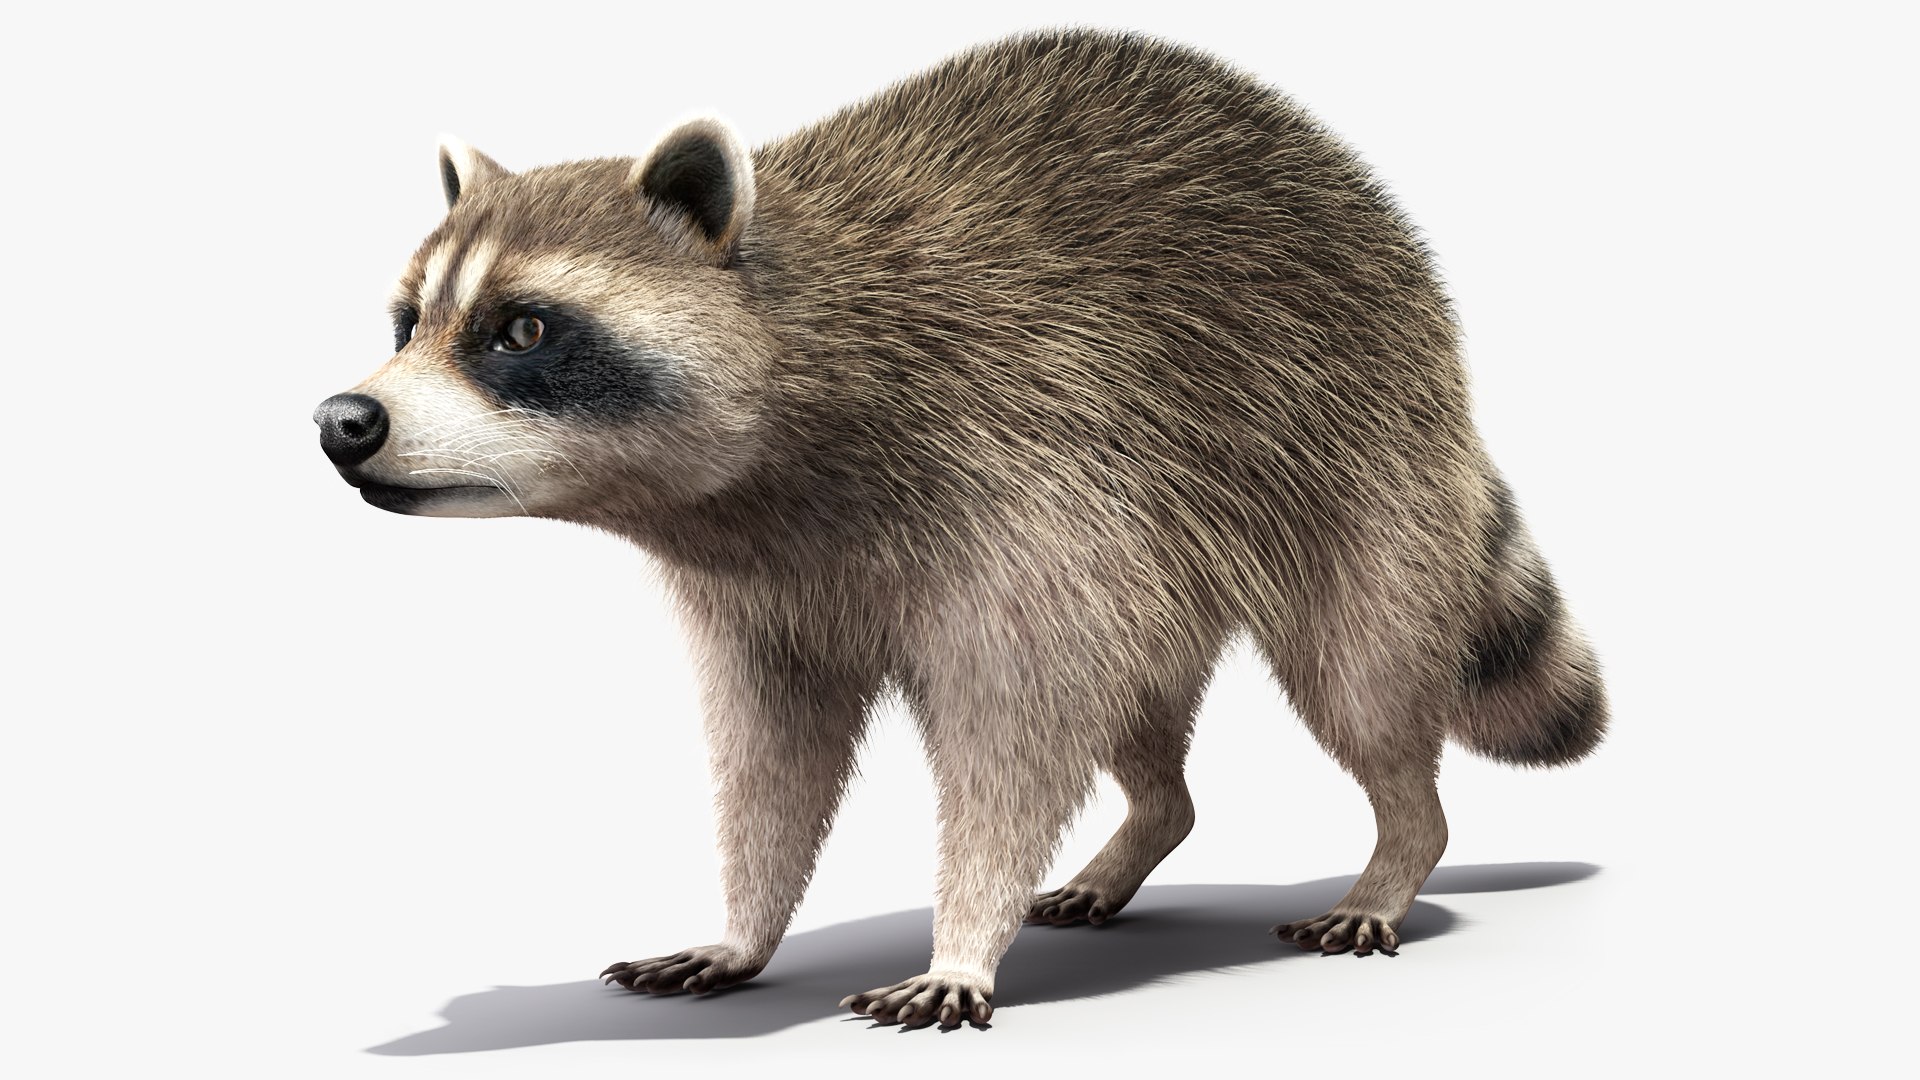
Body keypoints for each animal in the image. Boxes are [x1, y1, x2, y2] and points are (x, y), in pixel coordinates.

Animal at [315, 29, 1605, 1030]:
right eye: (408, 321)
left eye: (523, 330)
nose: (344, 420)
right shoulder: (769, 589)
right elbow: (773, 756)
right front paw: (745, 922)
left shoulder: (1029, 471)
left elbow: (1013, 738)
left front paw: (961, 939)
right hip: (1172, 544)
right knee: (1142, 707)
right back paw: (1148, 824)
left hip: (1342, 453)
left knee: (1360, 675)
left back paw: (1399, 849)